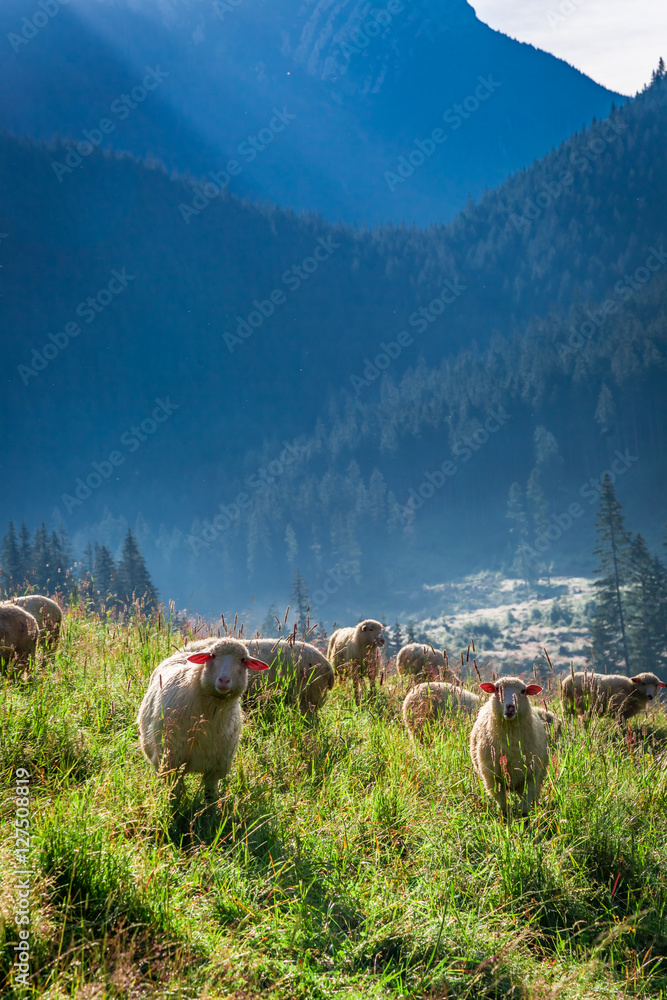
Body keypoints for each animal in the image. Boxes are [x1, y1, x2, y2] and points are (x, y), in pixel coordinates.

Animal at [137, 636, 269, 802]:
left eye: (243, 660)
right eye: (212, 655)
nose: (224, 680)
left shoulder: (218, 765)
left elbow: (210, 794)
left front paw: (211, 808)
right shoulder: (170, 761)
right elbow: (175, 792)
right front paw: (175, 807)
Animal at [470, 676, 548, 819]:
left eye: (523, 691)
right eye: (497, 689)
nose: (511, 707)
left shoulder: (531, 778)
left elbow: (525, 811)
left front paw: (526, 823)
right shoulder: (494, 780)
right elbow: (504, 809)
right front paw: (507, 822)